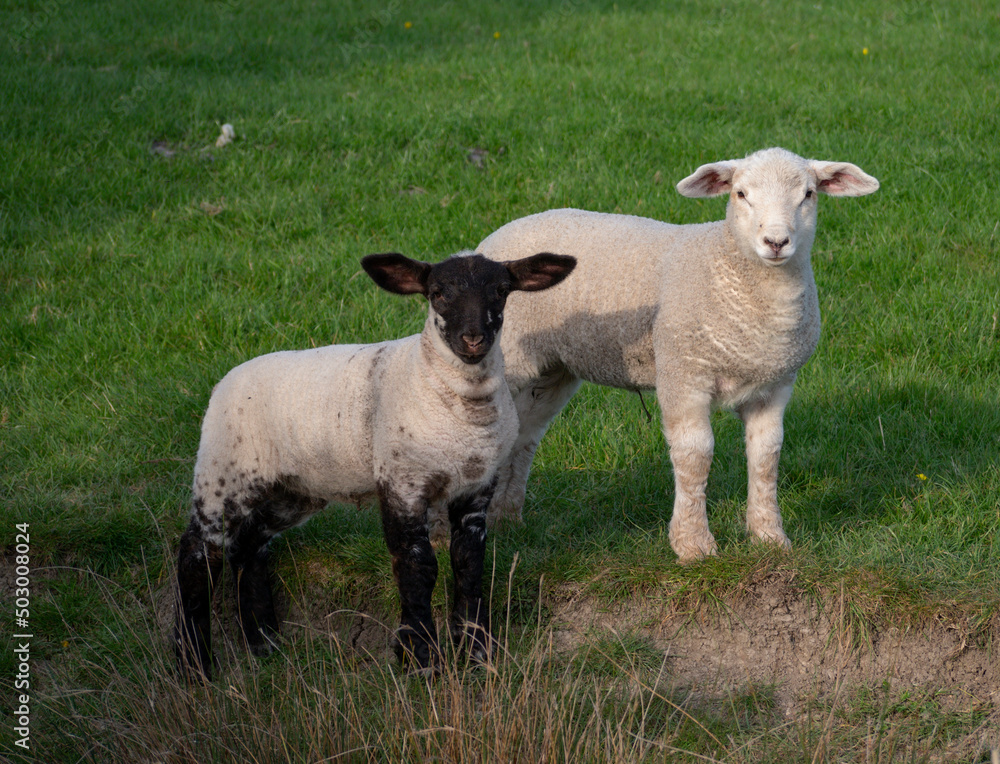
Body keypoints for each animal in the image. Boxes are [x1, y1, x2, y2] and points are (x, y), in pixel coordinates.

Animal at [174, 250, 577, 678]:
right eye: (438, 292)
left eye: (501, 291)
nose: (473, 339)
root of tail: (225, 382)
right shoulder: (402, 481)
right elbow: (417, 565)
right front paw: (421, 658)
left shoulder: (477, 486)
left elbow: (469, 564)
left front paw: (476, 652)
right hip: (221, 472)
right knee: (198, 553)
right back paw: (194, 663)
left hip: (291, 490)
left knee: (248, 547)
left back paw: (263, 641)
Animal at [477, 147, 879, 563]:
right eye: (740, 194)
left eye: (809, 194)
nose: (776, 241)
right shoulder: (683, 373)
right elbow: (695, 455)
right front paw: (694, 544)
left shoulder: (776, 383)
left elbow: (767, 456)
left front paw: (769, 536)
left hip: (551, 370)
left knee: (523, 436)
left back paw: (506, 519)